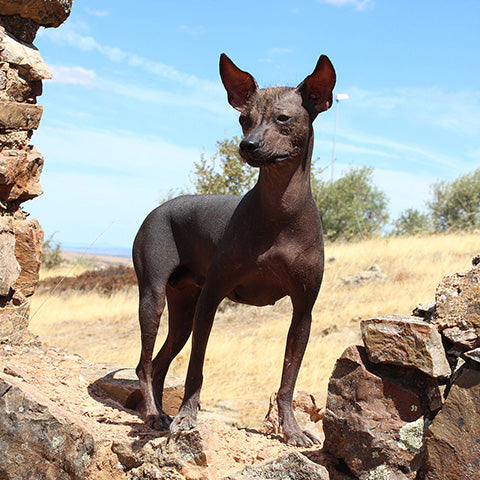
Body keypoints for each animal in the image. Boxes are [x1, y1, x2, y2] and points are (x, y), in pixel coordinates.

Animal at [131, 54, 334, 448]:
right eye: (244, 119)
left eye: (283, 118)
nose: (248, 145)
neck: (279, 211)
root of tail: (160, 209)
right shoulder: (211, 298)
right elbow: (195, 369)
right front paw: (187, 417)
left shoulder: (303, 311)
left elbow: (288, 381)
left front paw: (291, 430)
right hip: (154, 298)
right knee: (145, 364)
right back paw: (154, 414)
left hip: (183, 310)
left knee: (159, 363)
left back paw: (158, 411)